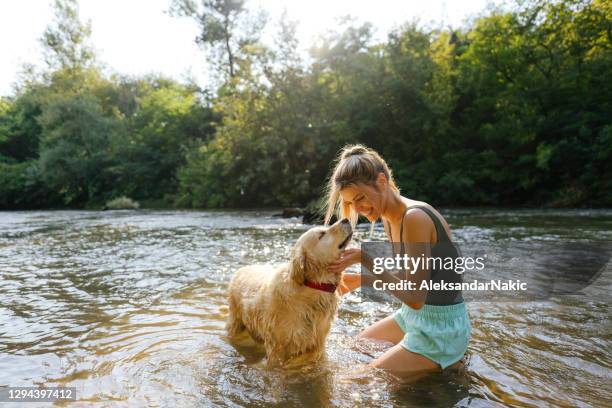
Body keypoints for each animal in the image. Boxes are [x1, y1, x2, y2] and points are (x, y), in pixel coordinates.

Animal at [226, 218, 352, 364]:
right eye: (321, 234)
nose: (346, 219)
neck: (312, 286)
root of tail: (242, 269)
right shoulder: (277, 347)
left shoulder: (318, 344)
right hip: (236, 324)